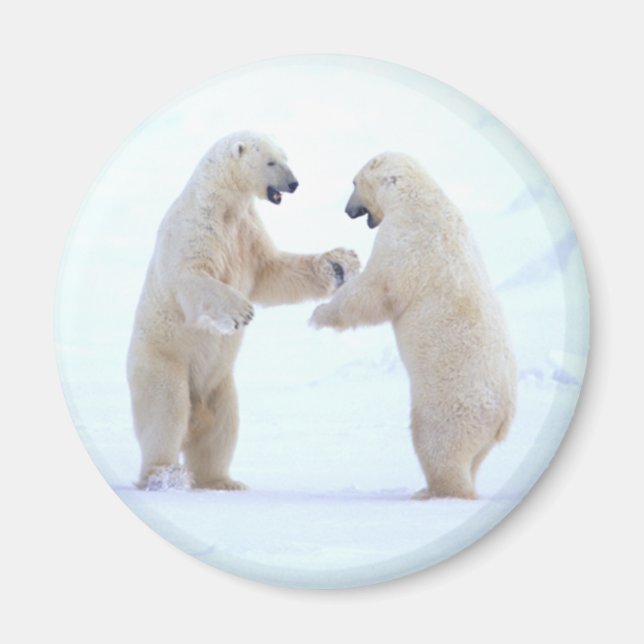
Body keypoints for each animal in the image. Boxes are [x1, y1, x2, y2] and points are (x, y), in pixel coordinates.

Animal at [127, 131, 360, 490]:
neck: (222, 203)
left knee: (222, 427)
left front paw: (339, 264)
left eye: (286, 157)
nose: (294, 184)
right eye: (271, 161)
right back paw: (165, 475)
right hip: (162, 361)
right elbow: (190, 276)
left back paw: (222, 481)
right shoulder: (196, 228)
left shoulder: (246, 232)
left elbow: (273, 271)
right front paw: (240, 312)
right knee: (166, 412)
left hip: (219, 383)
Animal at [310, 152, 517, 500]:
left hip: (451, 403)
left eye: (353, 183)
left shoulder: (405, 240)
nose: (347, 210)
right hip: (485, 429)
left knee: (438, 444)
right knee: (475, 457)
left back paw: (434, 492)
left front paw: (319, 314)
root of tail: (503, 416)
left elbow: (377, 290)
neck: (417, 198)